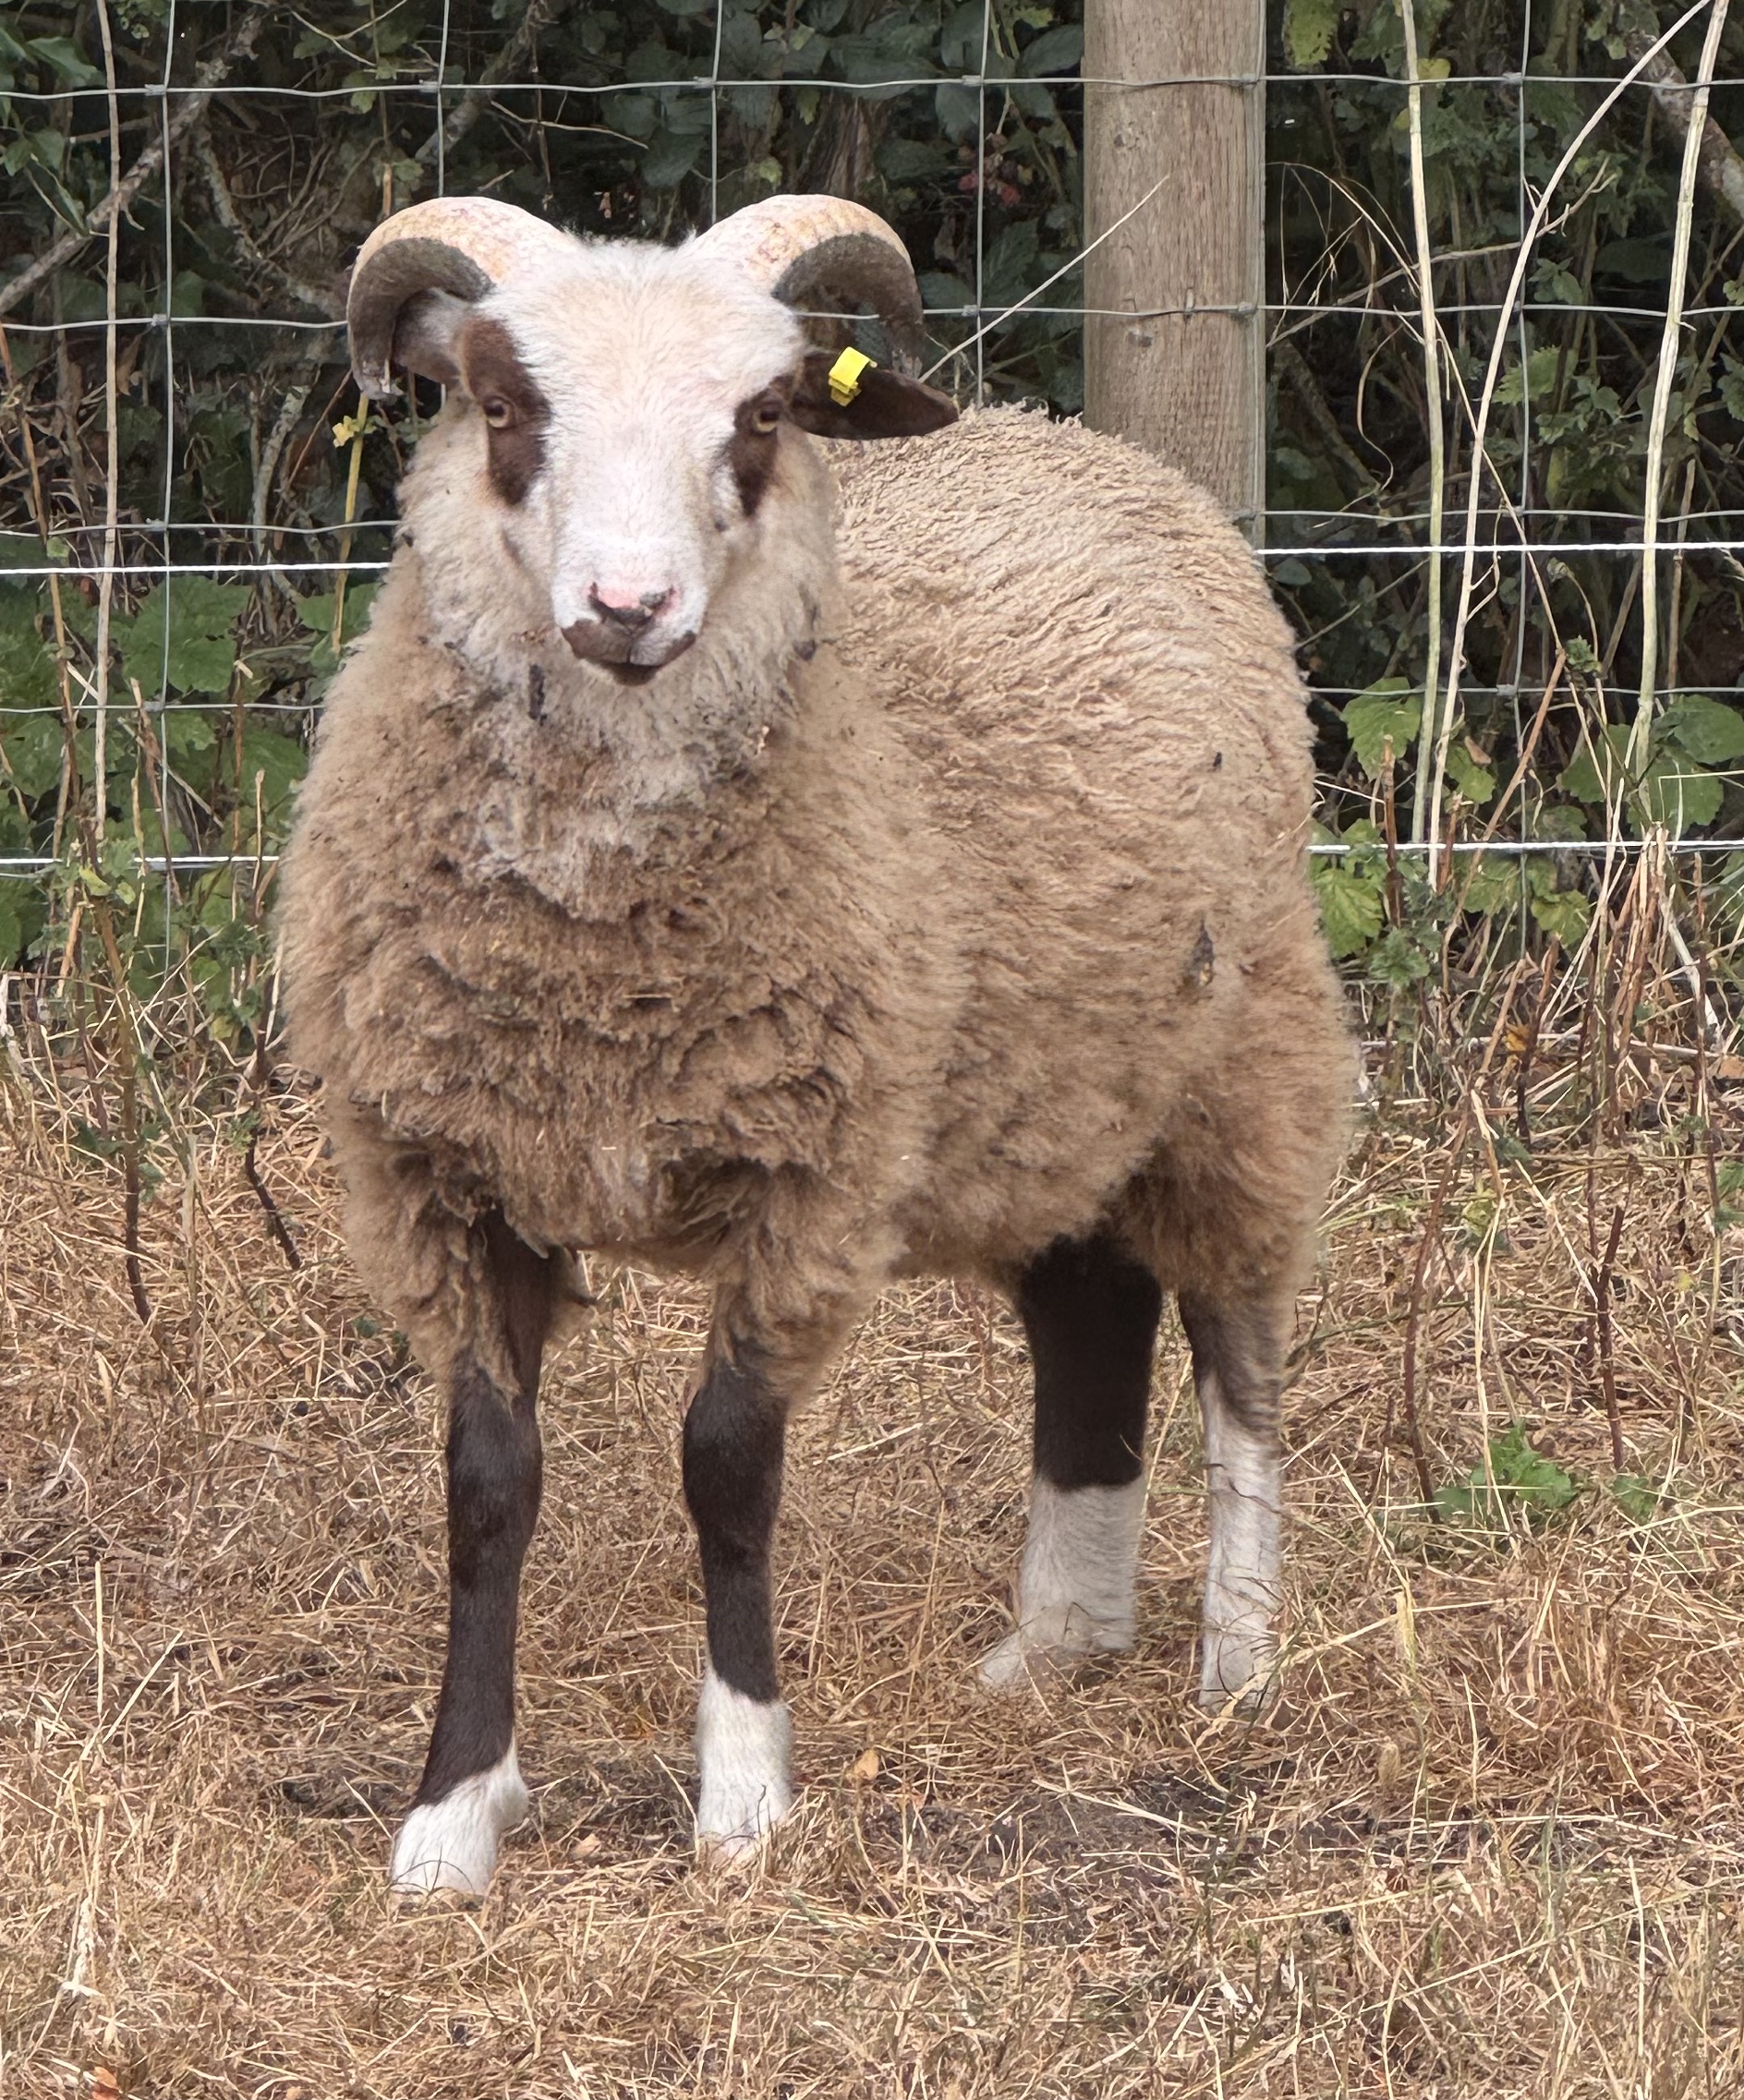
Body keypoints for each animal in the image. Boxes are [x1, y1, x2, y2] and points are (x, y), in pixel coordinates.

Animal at [278, 191, 1353, 1897]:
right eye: (502, 406)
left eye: (762, 415)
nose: (628, 610)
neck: (598, 963)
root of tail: (1076, 440)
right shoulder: (447, 1178)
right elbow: (487, 1482)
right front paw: (453, 1814)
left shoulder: (805, 1173)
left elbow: (726, 1467)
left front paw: (741, 1795)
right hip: (1053, 1075)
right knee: (1095, 1310)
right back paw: (1058, 1638)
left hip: (1238, 1049)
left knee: (1237, 1344)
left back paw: (1236, 1656)